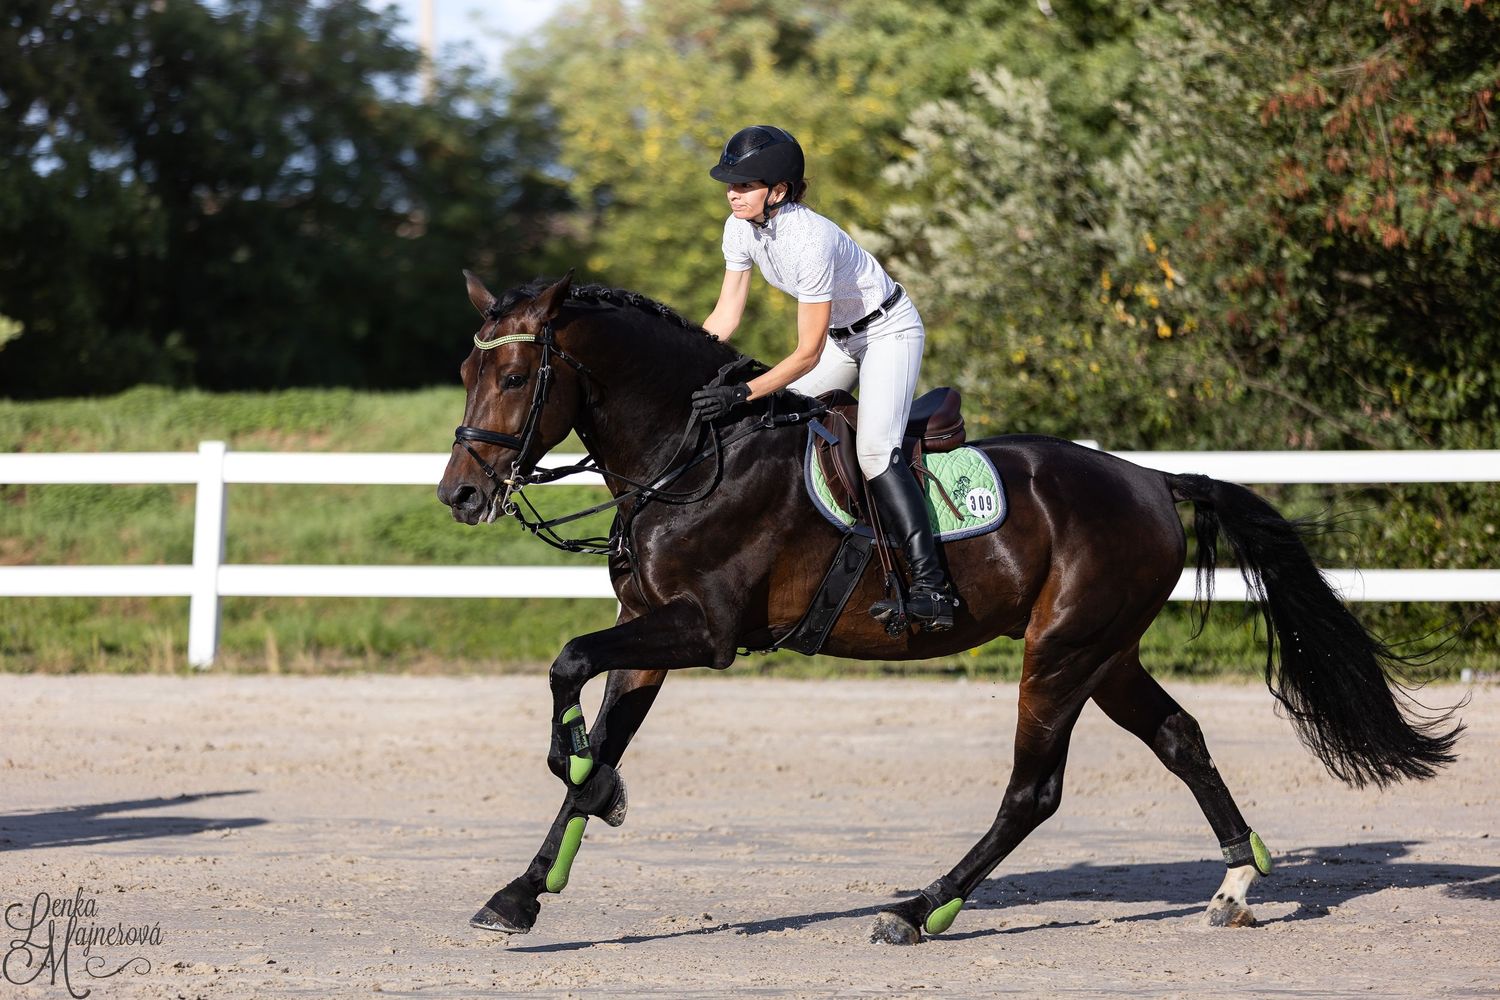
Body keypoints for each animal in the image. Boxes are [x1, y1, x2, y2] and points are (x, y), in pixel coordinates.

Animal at [436, 271, 1460, 945]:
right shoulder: (651, 638)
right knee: (1180, 740)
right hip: (1104, 652)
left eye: (519, 378)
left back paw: (921, 909)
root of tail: (1149, 480)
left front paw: (588, 789)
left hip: (1059, 654)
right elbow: (591, 732)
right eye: (465, 372)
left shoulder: (706, 631)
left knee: (1034, 790)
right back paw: (1238, 883)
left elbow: (569, 664)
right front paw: (523, 890)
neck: (690, 454)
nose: (460, 495)